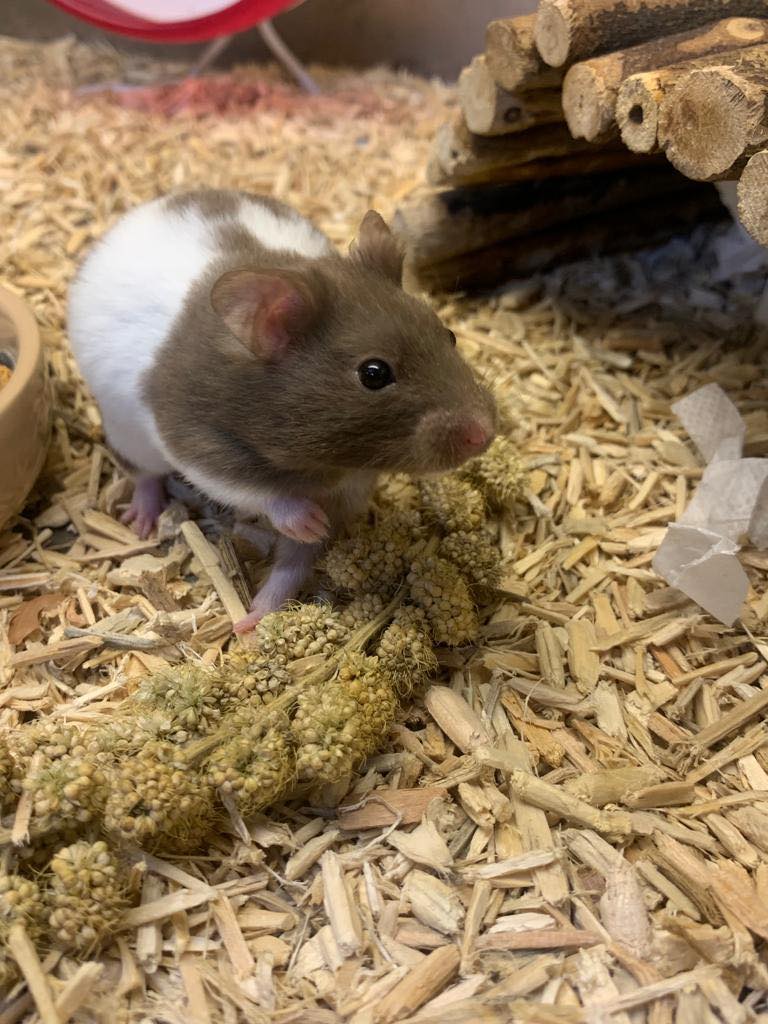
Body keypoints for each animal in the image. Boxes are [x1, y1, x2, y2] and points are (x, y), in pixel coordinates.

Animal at [68, 189, 496, 632]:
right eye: (374, 373)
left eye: (449, 335)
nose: (484, 434)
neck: (329, 465)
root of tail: (137, 214)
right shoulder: (200, 445)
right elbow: (262, 492)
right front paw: (306, 522)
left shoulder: (349, 490)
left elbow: (295, 561)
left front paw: (270, 598)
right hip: (126, 434)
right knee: (145, 476)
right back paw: (142, 522)